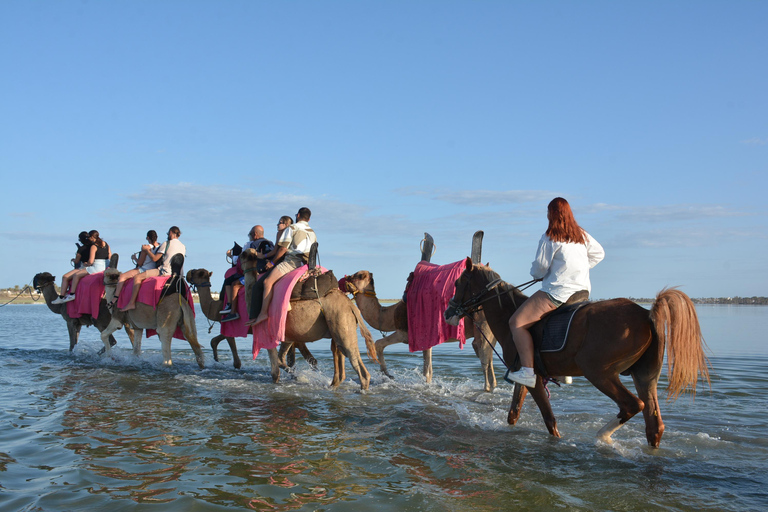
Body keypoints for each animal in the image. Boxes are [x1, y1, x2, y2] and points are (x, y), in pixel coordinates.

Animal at [186, 268, 318, 368]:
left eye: (197, 273)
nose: (187, 274)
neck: (216, 307)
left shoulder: (228, 326)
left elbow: (236, 361)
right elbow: (214, 341)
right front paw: (216, 359)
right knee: (306, 356)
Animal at [237, 248, 376, 388]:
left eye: (241, 254)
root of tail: (351, 305)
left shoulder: (269, 332)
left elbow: (276, 370)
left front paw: (293, 377)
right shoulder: (289, 335)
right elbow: (283, 360)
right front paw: (297, 376)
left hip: (342, 323)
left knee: (359, 366)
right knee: (341, 367)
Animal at [342, 268, 498, 392]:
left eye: (358, 275)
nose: (344, 279)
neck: (390, 314)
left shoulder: (404, 333)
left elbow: (379, 343)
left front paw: (388, 375)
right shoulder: (425, 338)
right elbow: (428, 370)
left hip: (484, 327)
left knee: (485, 360)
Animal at [448, 258, 712, 446]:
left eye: (458, 283)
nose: (448, 312)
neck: (508, 315)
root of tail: (646, 313)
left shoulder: (534, 380)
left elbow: (549, 420)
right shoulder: (524, 374)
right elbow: (513, 414)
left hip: (599, 373)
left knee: (632, 405)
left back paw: (602, 436)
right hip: (645, 377)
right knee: (654, 425)